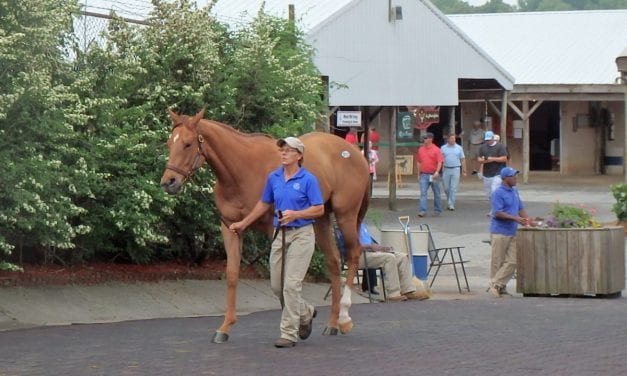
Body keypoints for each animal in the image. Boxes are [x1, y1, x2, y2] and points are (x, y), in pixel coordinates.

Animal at [159, 109, 370, 344]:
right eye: (169, 143)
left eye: (187, 144)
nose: (168, 182)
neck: (241, 170)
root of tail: (354, 152)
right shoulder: (231, 228)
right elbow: (232, 274)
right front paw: (225, 327)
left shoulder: (273, 229)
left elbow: (280, 277)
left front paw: (296, 322)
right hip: (322, 220)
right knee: (333, 262)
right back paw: (332, 323)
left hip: (346, 215)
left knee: (353, 254)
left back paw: (344, 317)